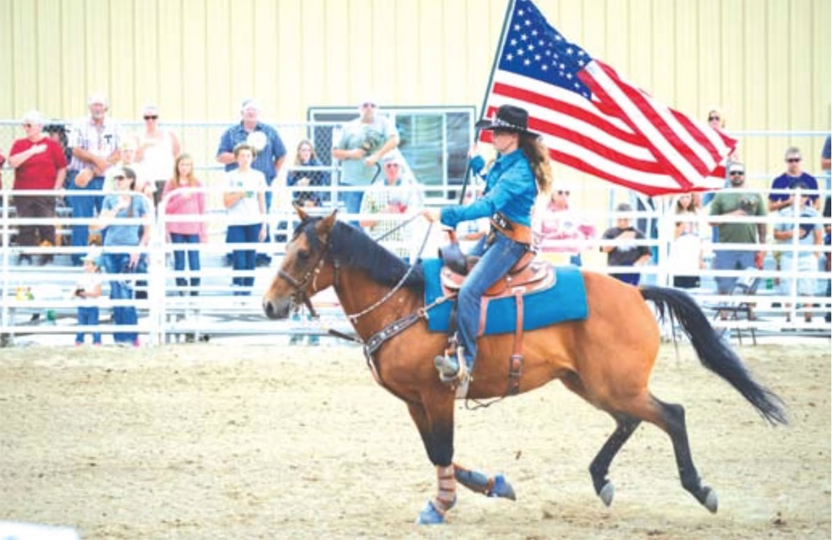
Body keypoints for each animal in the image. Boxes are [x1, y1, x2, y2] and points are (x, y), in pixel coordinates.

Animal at [262, 209, 788, 524]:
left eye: (303, 253)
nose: (269, 305)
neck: (403, 303)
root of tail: (635, 291)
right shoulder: (415, 401)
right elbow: (437, 452)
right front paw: (491, 483)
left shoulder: (436, 394)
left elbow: (442, 448)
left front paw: (441, 504)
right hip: (591, 384)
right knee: (630, 421)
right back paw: (601, 480)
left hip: (615, 385)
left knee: (672, 414)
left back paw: (699, 488)